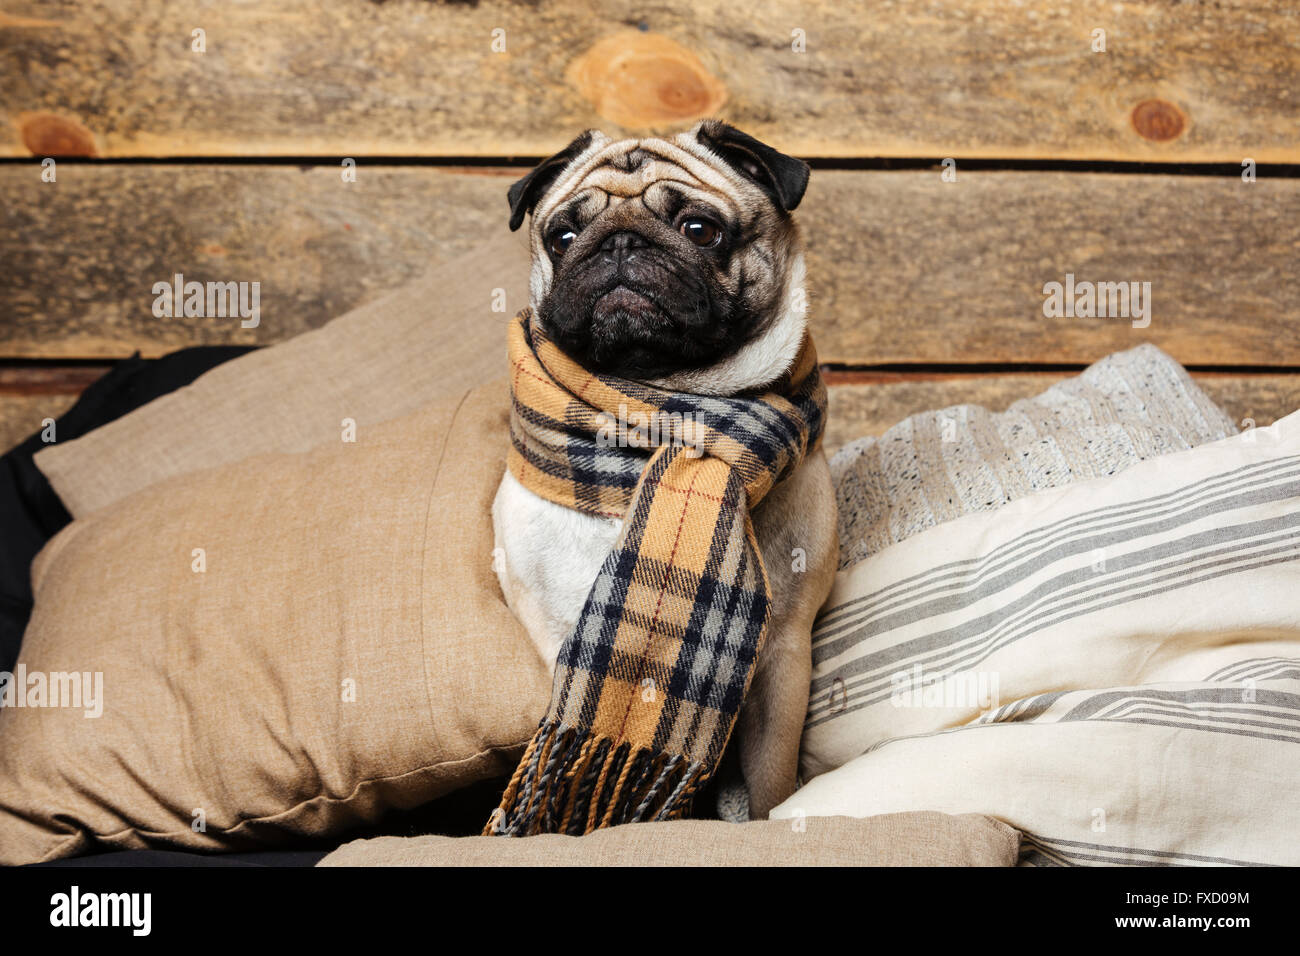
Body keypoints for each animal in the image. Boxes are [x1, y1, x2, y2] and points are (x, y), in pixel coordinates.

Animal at [491, 119, 837, 816]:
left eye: (700, 229)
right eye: (562, 236)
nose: (620, 242)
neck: (658, 407)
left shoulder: (784, 658)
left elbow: (771, 784)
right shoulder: (554, 635)